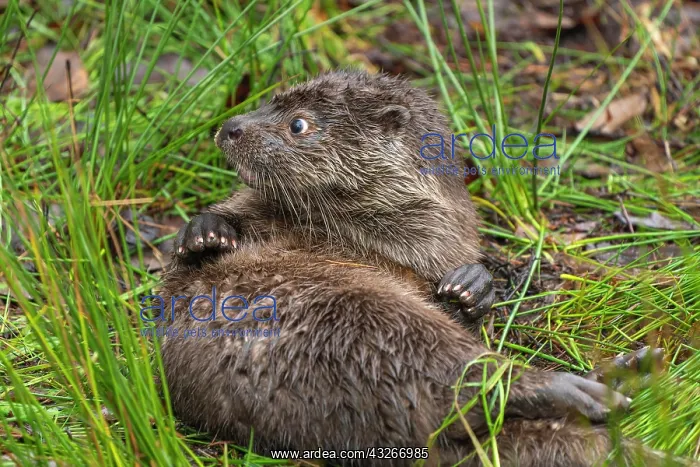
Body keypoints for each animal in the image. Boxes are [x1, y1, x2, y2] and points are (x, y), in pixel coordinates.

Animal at [158, 71, 685, 466]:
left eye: (298, 124)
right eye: (269, 100)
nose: (232, 126)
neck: (358, 238)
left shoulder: (438, 246)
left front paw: (470, 286)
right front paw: (205, 232)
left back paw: (620, 375)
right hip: (371, 321)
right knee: (466, 378)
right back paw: (595, 387)